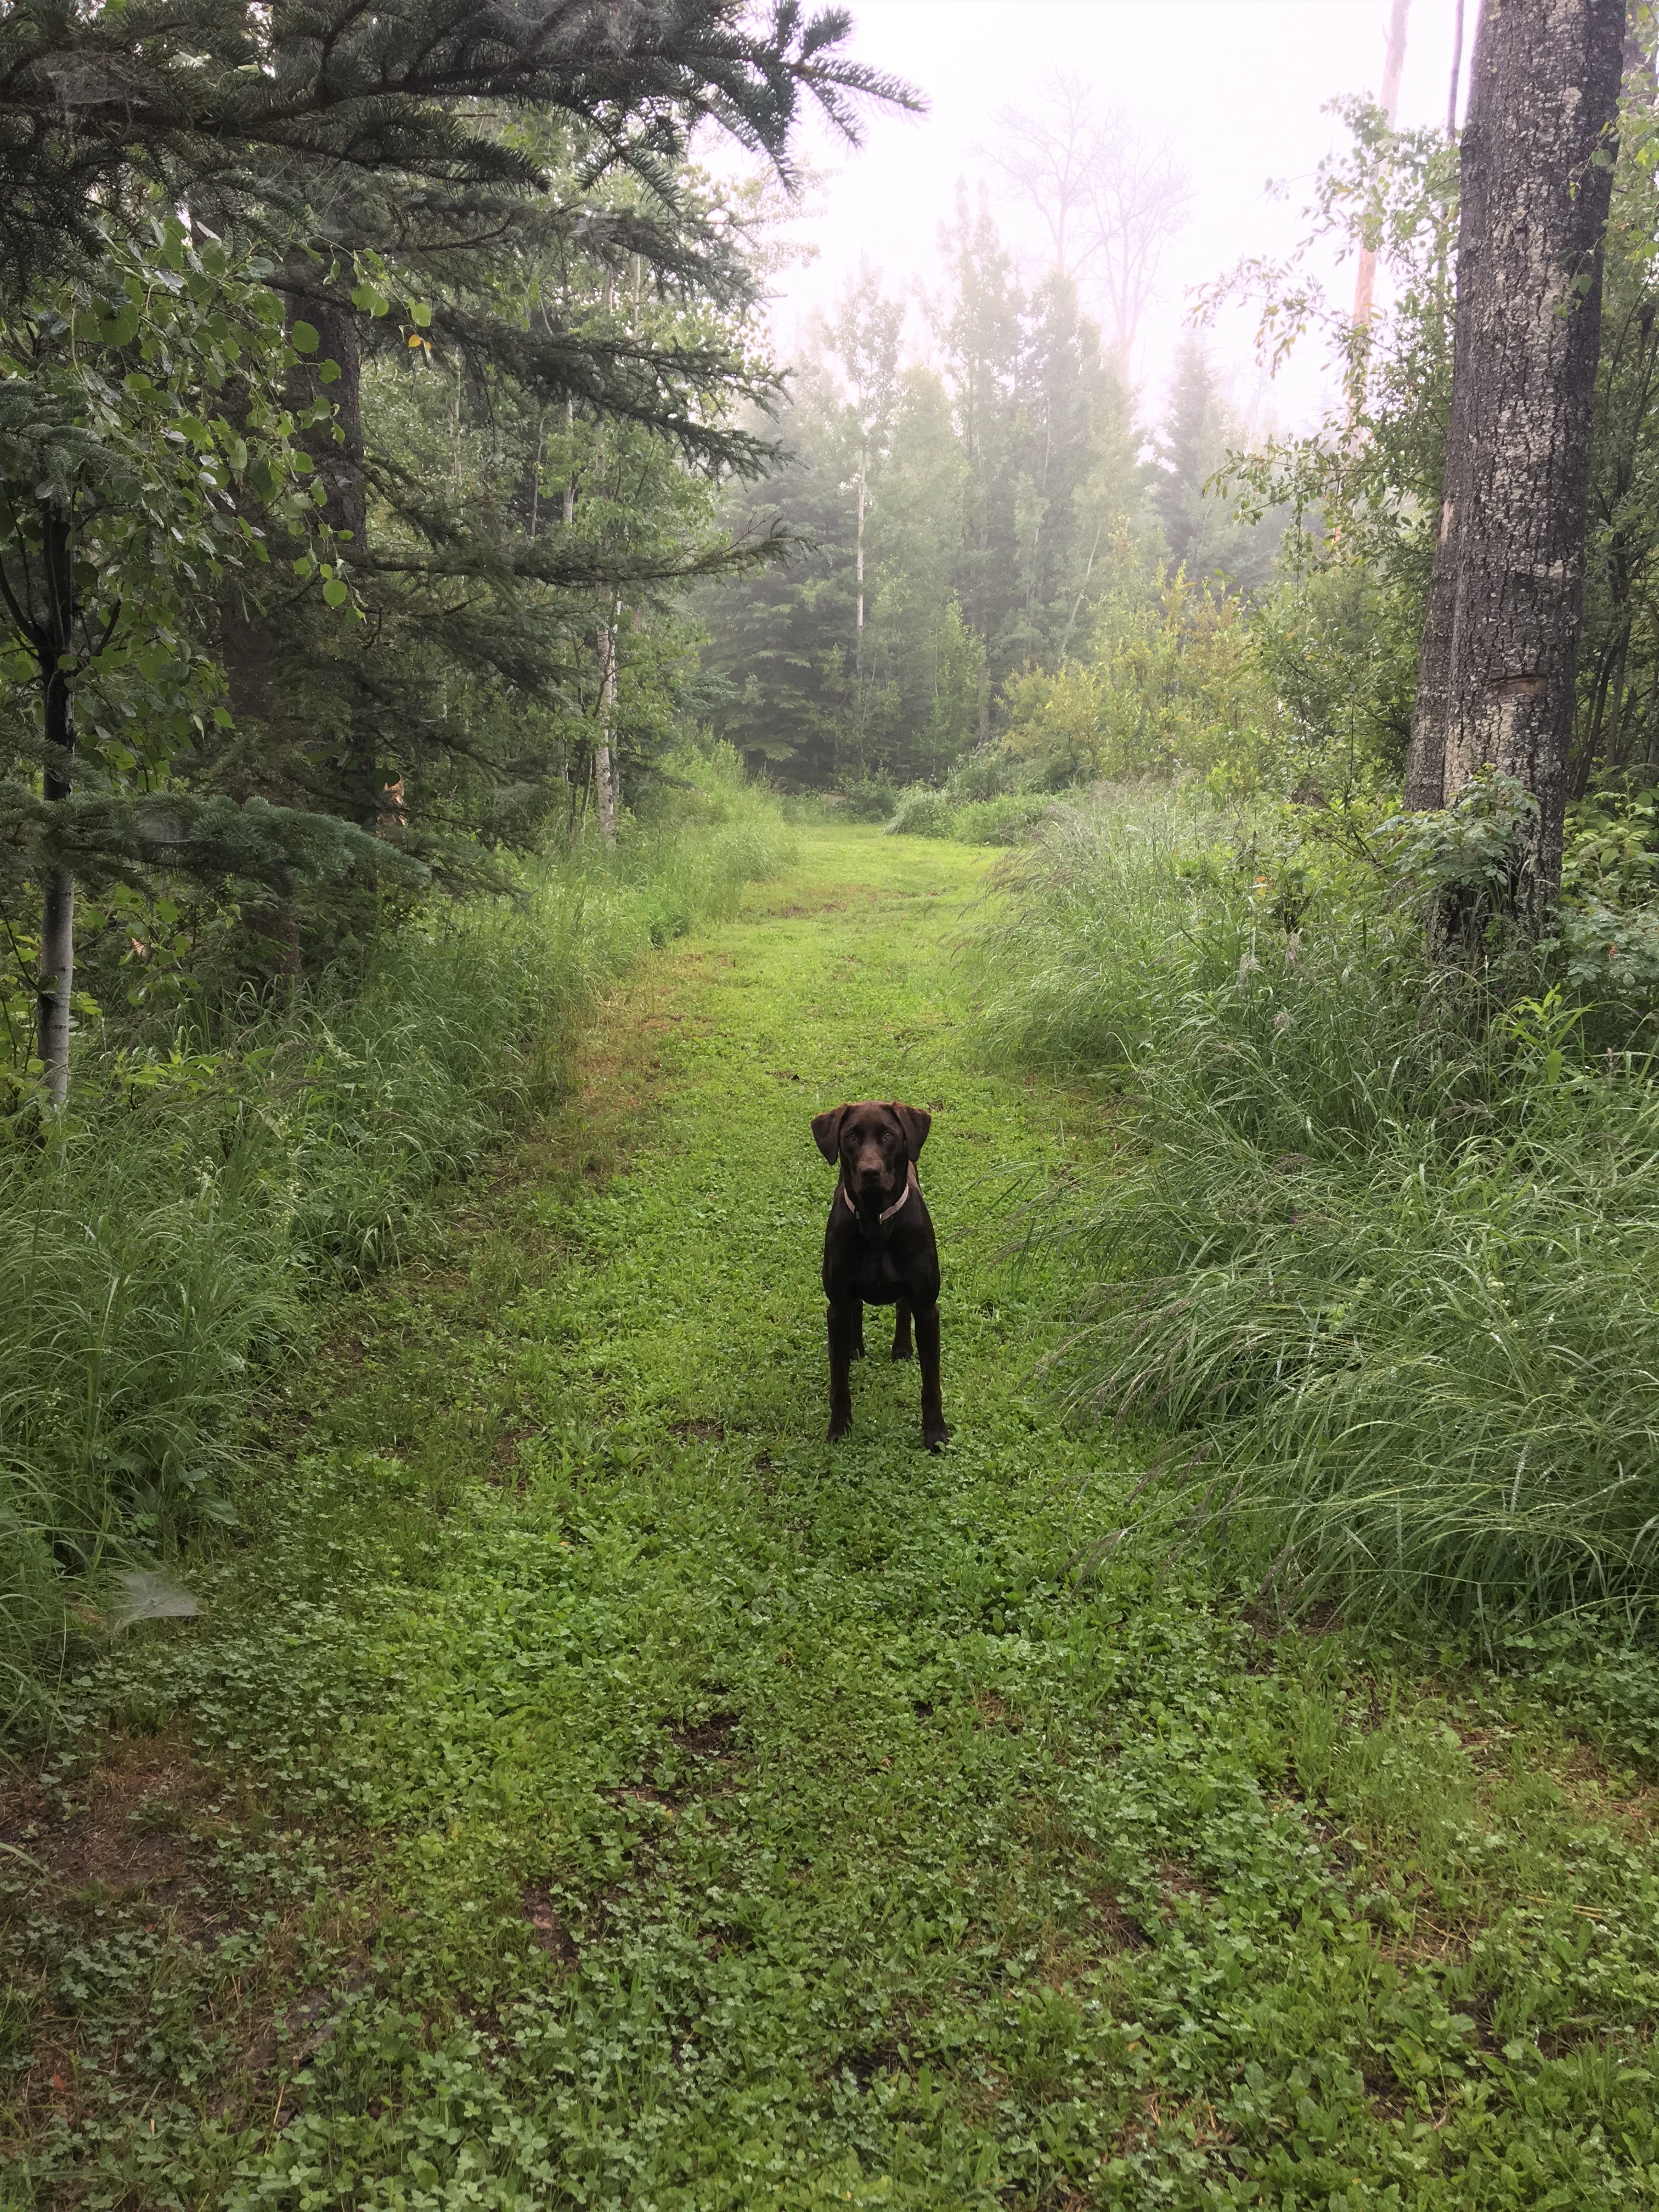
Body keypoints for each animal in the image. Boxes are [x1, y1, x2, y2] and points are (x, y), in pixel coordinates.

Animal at [814, 1101, 955, 1451]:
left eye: (889, 1135)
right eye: (851, 1136)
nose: (870, 1171)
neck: (876, 1222)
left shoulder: (927, 1309)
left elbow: (931, 1384)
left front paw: (935, 1434)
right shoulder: (836, 1306)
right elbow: (839, 1382)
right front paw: (839, 1428)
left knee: (903, 1306)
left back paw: (902, 1348)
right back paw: (855, 1348)